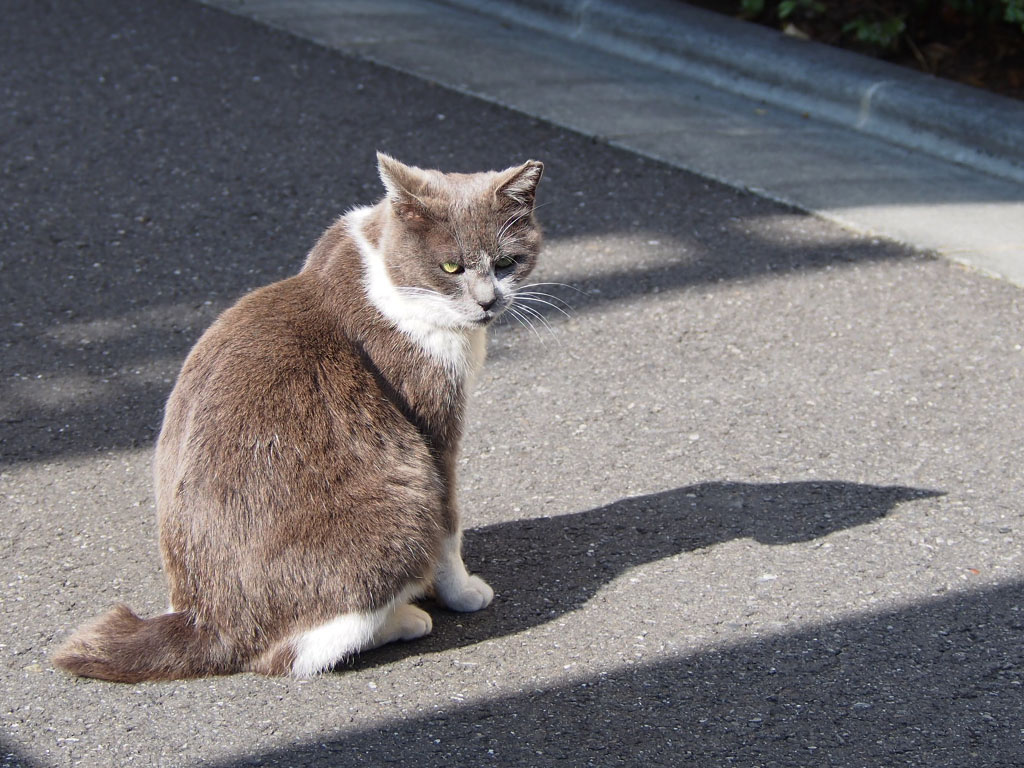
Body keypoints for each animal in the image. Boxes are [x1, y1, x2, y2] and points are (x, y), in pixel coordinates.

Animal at [49, 153, 544, 684]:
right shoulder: (434, 426)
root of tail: (203, 622)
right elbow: (450, 525)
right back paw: (404, 619)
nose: (488, 301)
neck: (386, 275)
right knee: (290, 655)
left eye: (507, 263)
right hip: (402, 507)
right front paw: (463, 592)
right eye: (452, 266)